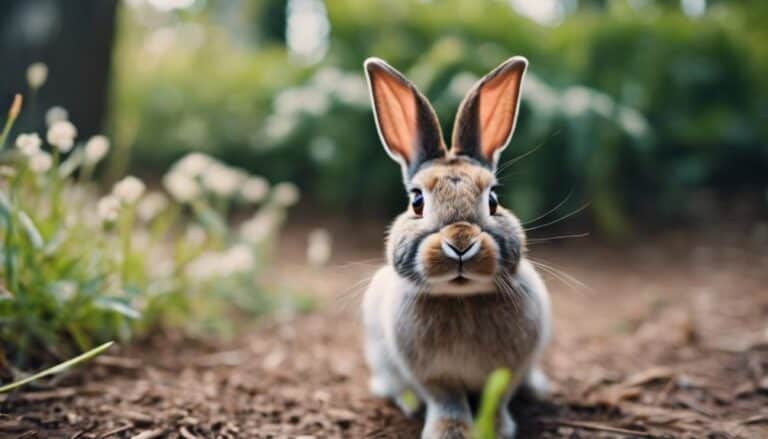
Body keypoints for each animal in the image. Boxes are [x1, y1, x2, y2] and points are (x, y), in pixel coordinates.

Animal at [361, 56, 551, 439]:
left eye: (493, 200)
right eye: (416, 201)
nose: (461, 243)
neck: (462, 298)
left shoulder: (508, 370)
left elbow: (500, 396)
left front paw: (497, 428)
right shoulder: (434, 377)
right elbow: (446, 399)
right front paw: (449, 431)